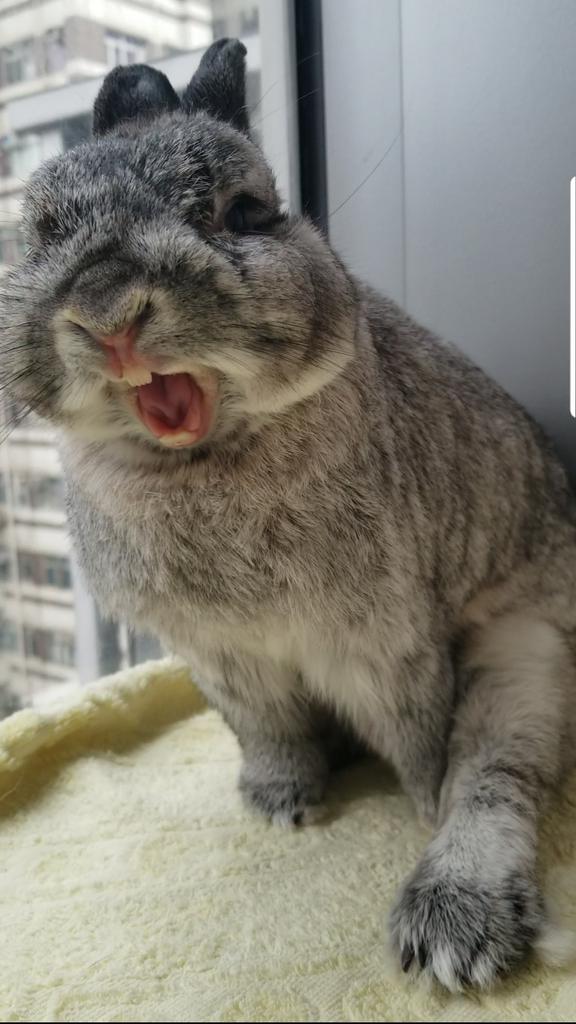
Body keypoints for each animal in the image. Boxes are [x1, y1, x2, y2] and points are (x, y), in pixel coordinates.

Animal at [1, 36, 573, 987]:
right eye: (39, 232)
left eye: (244, 212)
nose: (109, 311)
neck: (203, 464)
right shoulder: (225, 660)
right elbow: (268, 733)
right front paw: (280, 803)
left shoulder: (380, 645)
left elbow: (422, 738)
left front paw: (415, 801)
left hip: (523, 653)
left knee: (497, 776)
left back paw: (452, 917)